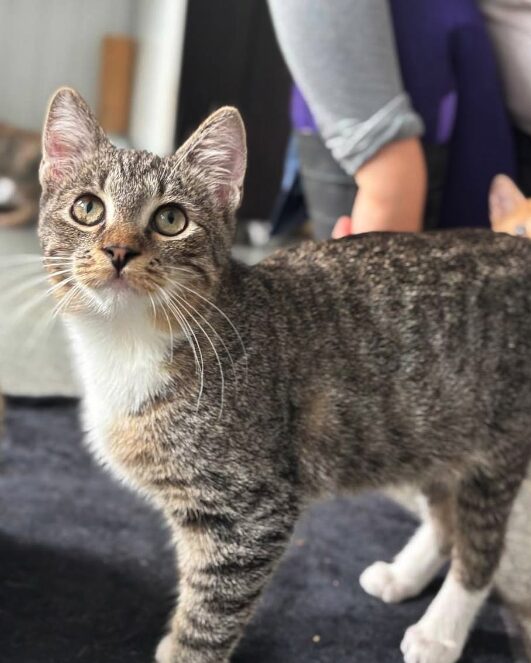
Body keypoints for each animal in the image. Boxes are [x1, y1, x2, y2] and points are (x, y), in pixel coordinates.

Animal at [39, 88, 531, 663]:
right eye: (87, 208)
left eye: (170, 219)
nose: (118, 251)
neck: (128, 344)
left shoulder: (251, 512)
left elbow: (208, 618)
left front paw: (185, 650)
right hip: (429, 424)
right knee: (446, 513)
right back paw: (405, 575)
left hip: (498, 443)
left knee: (482, 547)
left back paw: (441, 630)